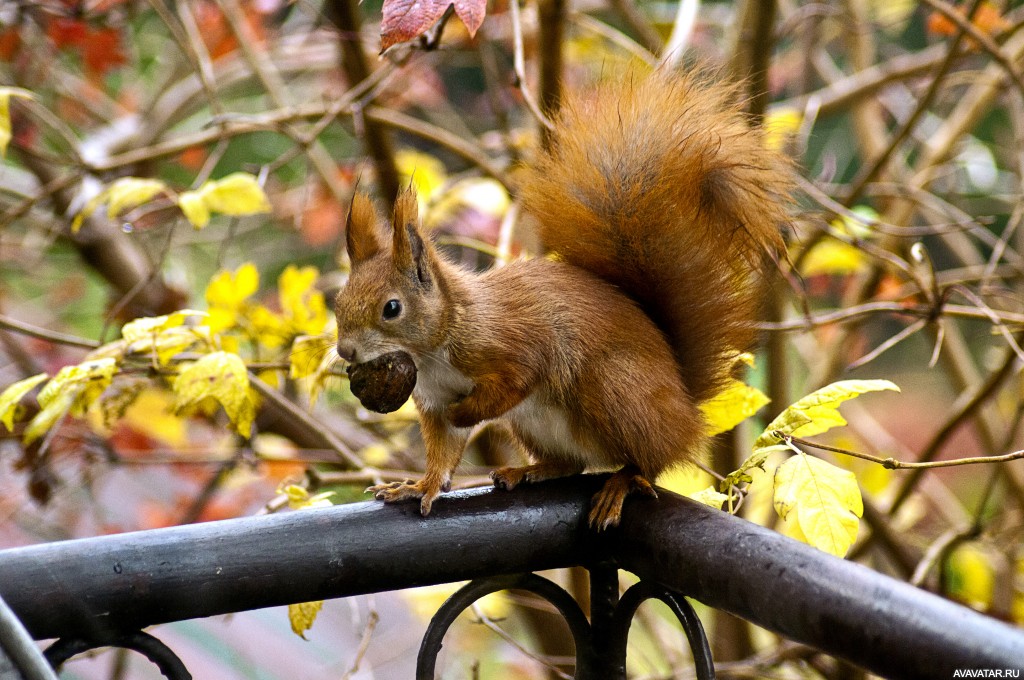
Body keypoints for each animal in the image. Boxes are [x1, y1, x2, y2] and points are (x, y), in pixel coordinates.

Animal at [335, 69, 790, 528]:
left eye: (392, 308)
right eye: (338, 304)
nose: (345, 351)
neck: (438, 344)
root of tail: (684, 406)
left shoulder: (511, 343)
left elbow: (515, 381)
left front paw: (466, 412)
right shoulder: (434, 397)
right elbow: (443, 450)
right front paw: (419, 486)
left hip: (616, 390)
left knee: (651, 460)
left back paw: (622, 482)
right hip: (539, 425)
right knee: (574, 464)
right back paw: (529, 470)